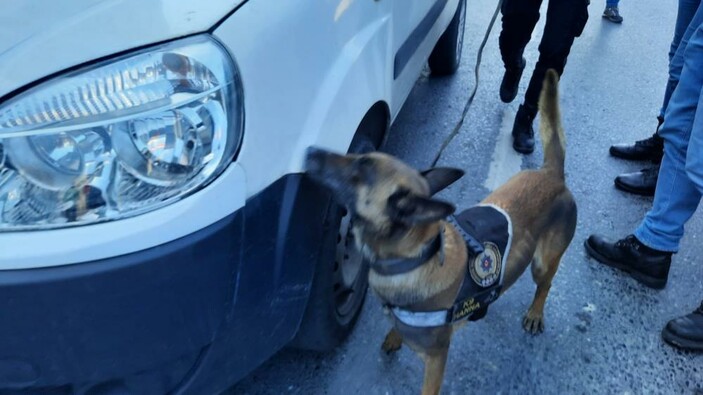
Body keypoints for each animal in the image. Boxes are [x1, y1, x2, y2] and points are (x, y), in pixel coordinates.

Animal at [306, 69, 576, 394]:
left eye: (359, 169)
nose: (311, 151)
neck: (416, 258)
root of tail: (552, 174)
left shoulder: (436, 359)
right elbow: (395, 327)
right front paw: (394, 336)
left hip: (543, 263)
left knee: (544, 285)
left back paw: (536, 312)